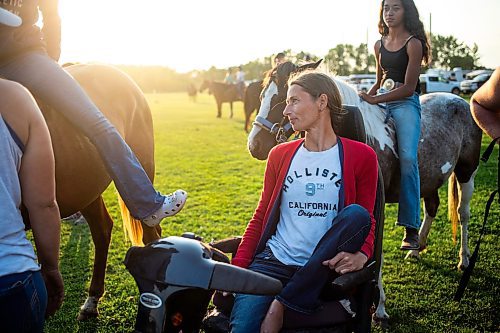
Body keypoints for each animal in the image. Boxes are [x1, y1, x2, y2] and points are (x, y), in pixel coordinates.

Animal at [248, 61, 482, 322]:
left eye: (282, 98)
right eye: (262, 95)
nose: (255, 145)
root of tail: (459, 100)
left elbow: (375, 256)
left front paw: (379, 307)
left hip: (466, 171)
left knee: (463, 213)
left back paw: (464, 258)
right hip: (430, 179)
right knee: (431, 207)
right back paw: (416, 247)